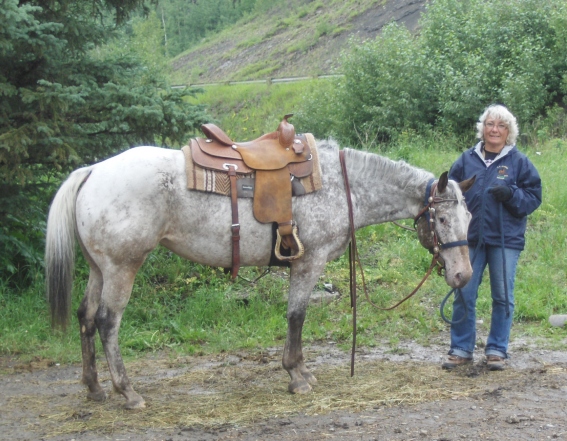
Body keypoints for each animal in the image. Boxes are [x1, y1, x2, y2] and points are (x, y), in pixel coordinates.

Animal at [46, 139, 474, 408]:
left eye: (469, 217)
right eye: (441, 218)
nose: (463, 276)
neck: (342, 187)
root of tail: (92, 171)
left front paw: (300, 371)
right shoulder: (309, 262)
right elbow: (297, 316)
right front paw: (296, 376)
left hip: (99, 268)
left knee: (86, 317)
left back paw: (94, 388)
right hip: (122, 267)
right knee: (107, 322)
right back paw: (128, 392)